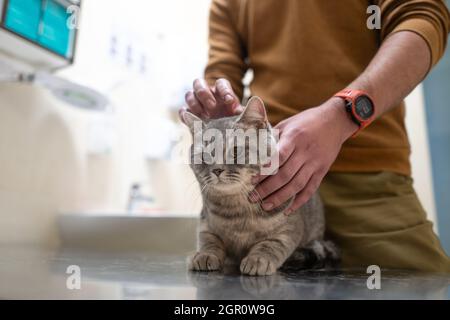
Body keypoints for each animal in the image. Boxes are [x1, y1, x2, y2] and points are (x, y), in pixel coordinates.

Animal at [181, 95, 340, 276]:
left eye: (235, 151)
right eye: (204, 155)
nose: (217, 170)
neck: (237, 210)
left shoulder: (289, 228)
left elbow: (270, 244)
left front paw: (258, 259)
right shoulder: (205, 222)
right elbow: (208, 240)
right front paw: (204, 255)